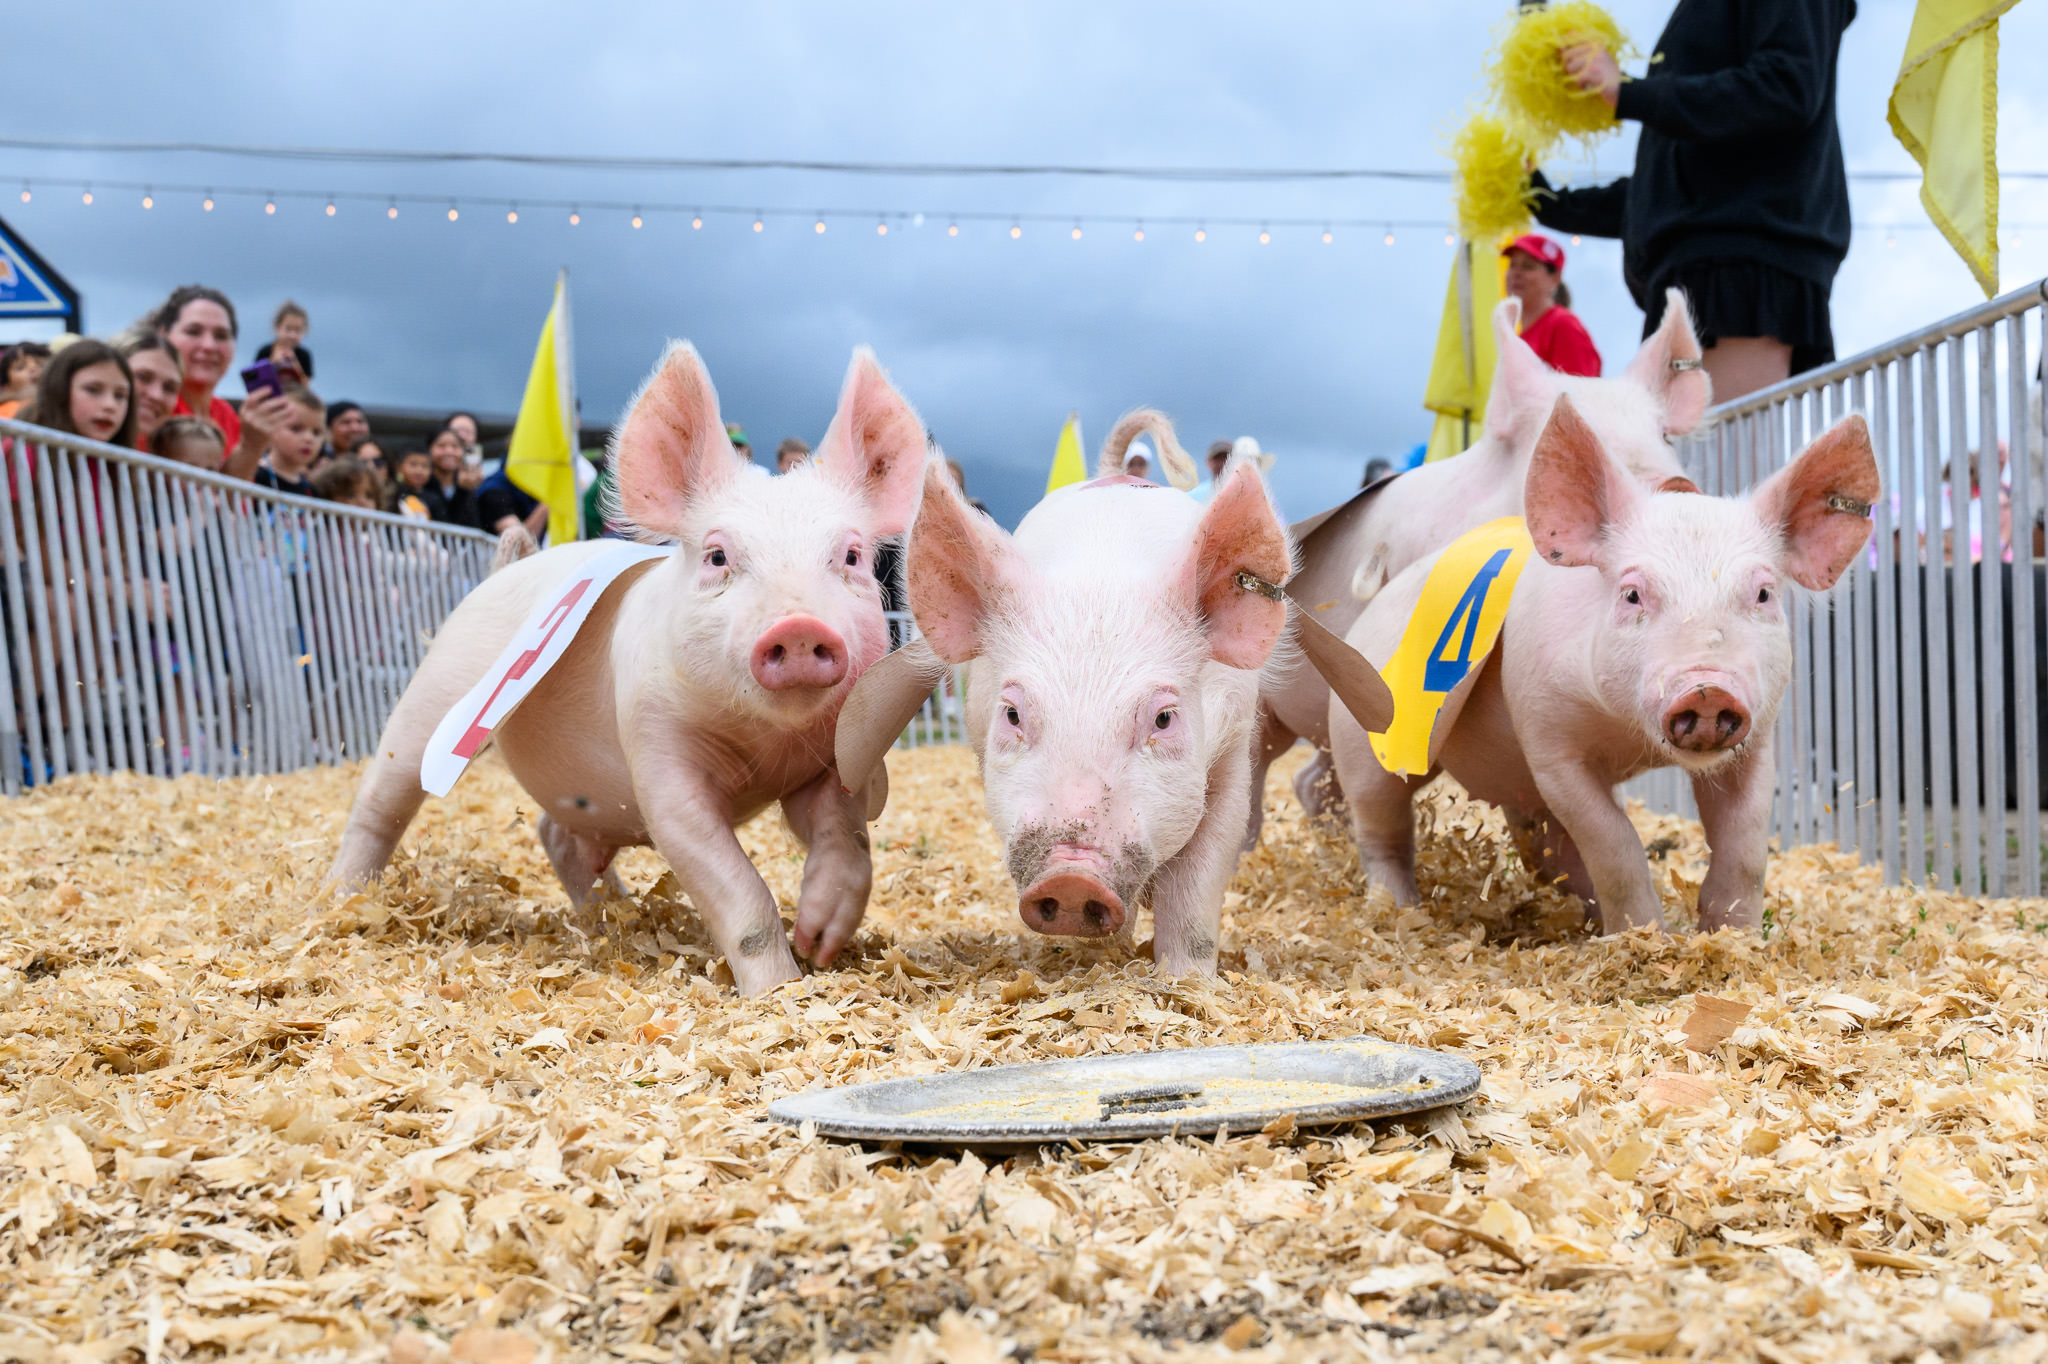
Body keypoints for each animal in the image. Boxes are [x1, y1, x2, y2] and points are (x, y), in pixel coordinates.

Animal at [327, 343, 928, 995]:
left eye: (851, 556)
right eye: (717, 556)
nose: (797, 627)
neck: (765, 742)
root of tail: (505, 567)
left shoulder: (830, 759)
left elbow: (847, 840)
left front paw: (820, 941)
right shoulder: (657, 750)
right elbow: (734, 886)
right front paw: (777, 991)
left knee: (555, 835)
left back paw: (609, 913)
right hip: (437, 698)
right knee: (381, 802)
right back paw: (339, 901)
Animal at [1327, 395, 1879, 933]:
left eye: (1763, 593)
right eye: (1632, 594)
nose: (1706, 689)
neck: (1631, 740)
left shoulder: (1757, 741)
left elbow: (1744, 846)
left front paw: (1731, 936)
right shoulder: (1548, 742)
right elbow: (1613, 842)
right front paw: (1643, 936)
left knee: (1541, 846)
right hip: (1365, 739)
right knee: (1380, 827)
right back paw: (1396, 910)